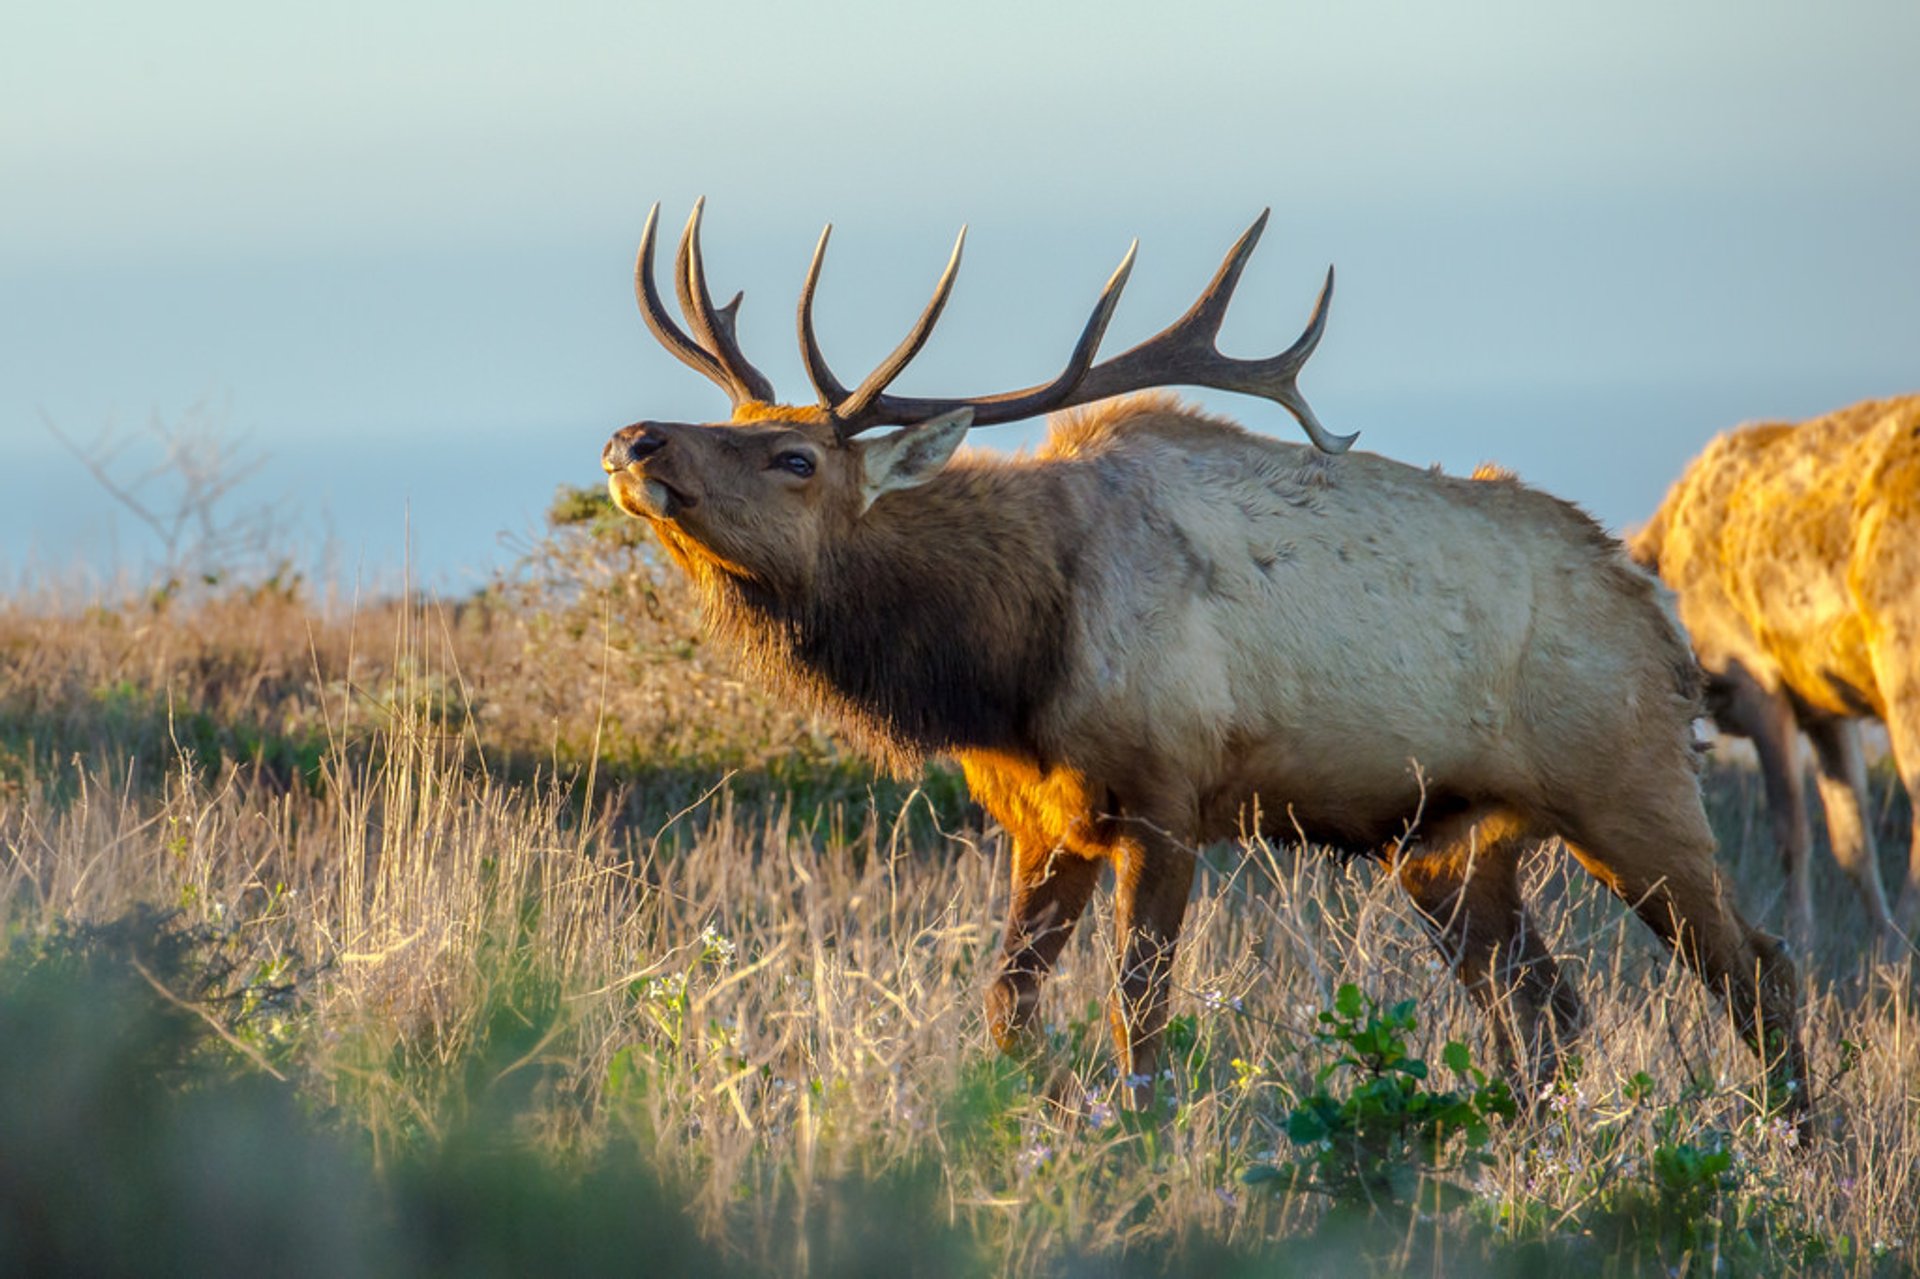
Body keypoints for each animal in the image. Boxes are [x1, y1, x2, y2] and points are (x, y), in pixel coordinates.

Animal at [602, 201, 1812, 1113]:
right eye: (740, 421)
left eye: (795, 455)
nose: (633, 438)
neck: (1005, 657)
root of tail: (1661, 618)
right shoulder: (1045, 821)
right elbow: (1007, 1005)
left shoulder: (1167, 798)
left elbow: (1140, 1022)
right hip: (1452, 844)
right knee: (1547, 1009)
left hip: (1631, 786)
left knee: (1758, 969)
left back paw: (1798, 1150)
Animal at [1635, 395, 1920, 944]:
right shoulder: (1824, 705)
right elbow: (1852, 840)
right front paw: (1883, 940)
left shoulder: (1759, 683)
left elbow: (1792, 830)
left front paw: (1802, 934)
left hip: (1903, 663)